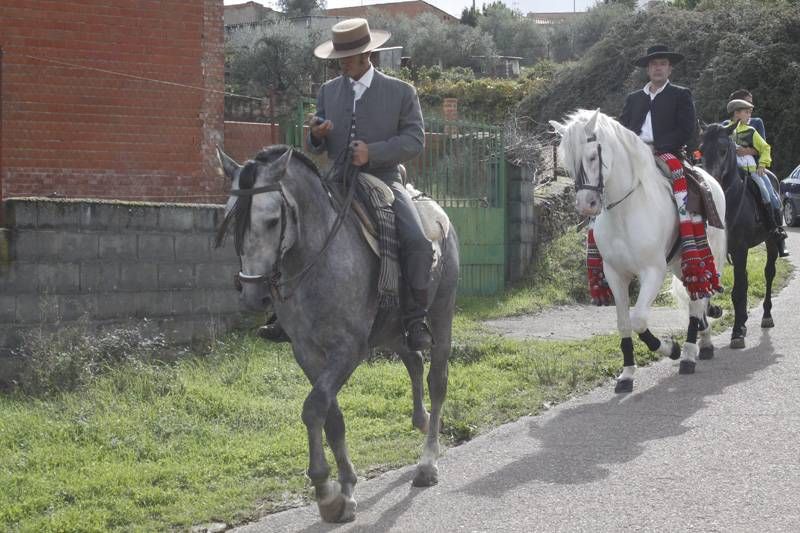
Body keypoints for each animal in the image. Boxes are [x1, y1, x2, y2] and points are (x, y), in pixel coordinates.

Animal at [216, 143, 460, 520]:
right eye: (231, 220)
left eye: (272, 220)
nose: (253, 295)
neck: (315, 258)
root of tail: (435, 209)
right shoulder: (306, 352)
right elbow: (332, 416)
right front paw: (345, 489)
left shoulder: (348, 350)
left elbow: (314, 406)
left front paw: (325, 491)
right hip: (392, 331)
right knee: (414, 360)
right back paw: (420, 421)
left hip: (441, 315)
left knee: (436, 380)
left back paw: (427, 462)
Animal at [552, 109, 724, 390]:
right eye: (568, 161)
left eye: (592, 156)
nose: (586, 204)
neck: (625, 210)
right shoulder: (615, 274)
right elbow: (624, 323)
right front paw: (627, 374)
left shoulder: (652, 271)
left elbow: (639, 320)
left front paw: (671, 348)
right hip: (679, 266)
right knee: (696, 301)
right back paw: (704, 341)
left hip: (700, 260)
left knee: (697, 301)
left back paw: (688, 354)